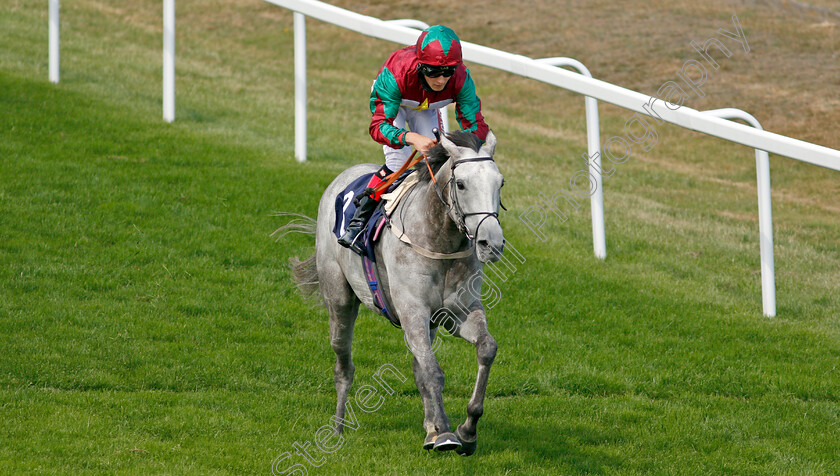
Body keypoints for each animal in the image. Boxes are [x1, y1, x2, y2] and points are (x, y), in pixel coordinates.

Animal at [284, 129, 506, 454]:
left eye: (500, 182)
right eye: (462, 184)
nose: (492, 244)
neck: (439, 240)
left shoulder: (458, 312)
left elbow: (486, 349)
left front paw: (467, 430)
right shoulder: (412, 311)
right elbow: (433, 371)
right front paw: (447, 433)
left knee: (417, 366)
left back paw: (430, 428)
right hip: (339, 299)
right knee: (343, 363)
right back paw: (337, 428)